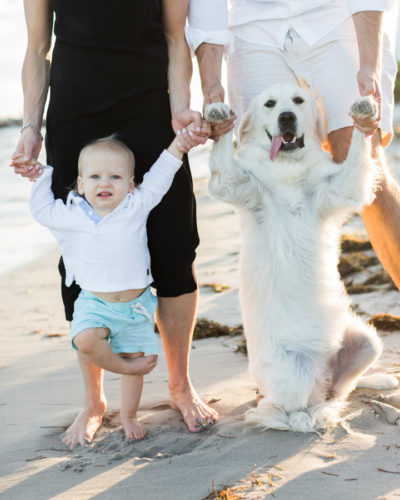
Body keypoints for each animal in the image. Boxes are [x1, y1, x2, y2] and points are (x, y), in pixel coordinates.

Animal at [205, 84, 398, 432]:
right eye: (270, 104)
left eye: (298, 100)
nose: (286, 117)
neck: (287, 169)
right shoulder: (234, 184)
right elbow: (224, 155)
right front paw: (217, 114)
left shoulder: (341, 187)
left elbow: (357, 152)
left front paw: (364, 114)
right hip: (295, 372)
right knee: (298, 407)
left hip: (367, 339)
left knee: (340, 391)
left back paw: (370, 385)